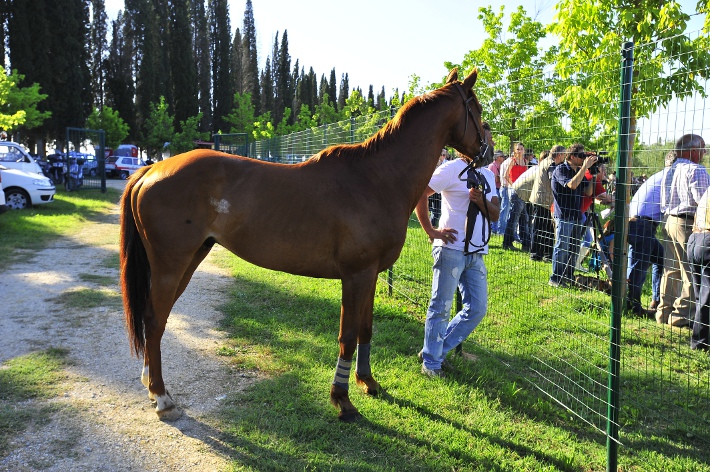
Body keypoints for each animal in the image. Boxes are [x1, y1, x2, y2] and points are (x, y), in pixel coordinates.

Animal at [122, 68, 490, 422]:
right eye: (477, 109)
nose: (487, 150)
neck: (377, 179)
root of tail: (152, 168)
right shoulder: (355, 275)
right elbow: (347, 336)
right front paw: (342, 400)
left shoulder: (370, 275)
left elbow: (366, 329)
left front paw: (368, 382)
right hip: (171, 265)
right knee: (153, 320)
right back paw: (162, 398)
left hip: (191, 259)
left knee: (157, 319)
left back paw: (151, 385)